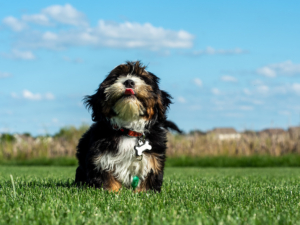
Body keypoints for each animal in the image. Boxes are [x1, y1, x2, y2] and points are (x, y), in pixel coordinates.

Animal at [75, 60, 180, 192]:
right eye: (116, 77)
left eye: (142, 77)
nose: (129, 81)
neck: (128, 130)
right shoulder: (100, 160)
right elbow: (107, 180)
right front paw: (111, 192)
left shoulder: (152, 161)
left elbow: (147, 183)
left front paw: (143, 192)